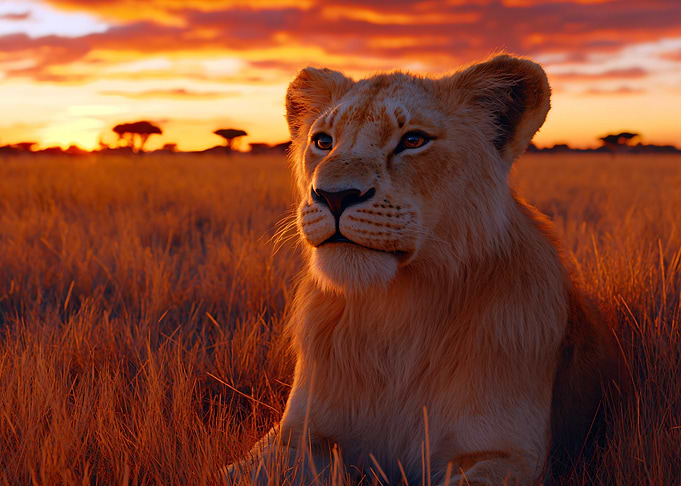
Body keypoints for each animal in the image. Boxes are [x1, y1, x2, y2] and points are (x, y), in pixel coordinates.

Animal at [228, 54, 621, 485]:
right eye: (323, 142)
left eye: (413, 141)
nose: (333, 196)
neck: (394, 314)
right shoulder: (296, 435)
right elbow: (239, 471)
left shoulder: (511, 455)